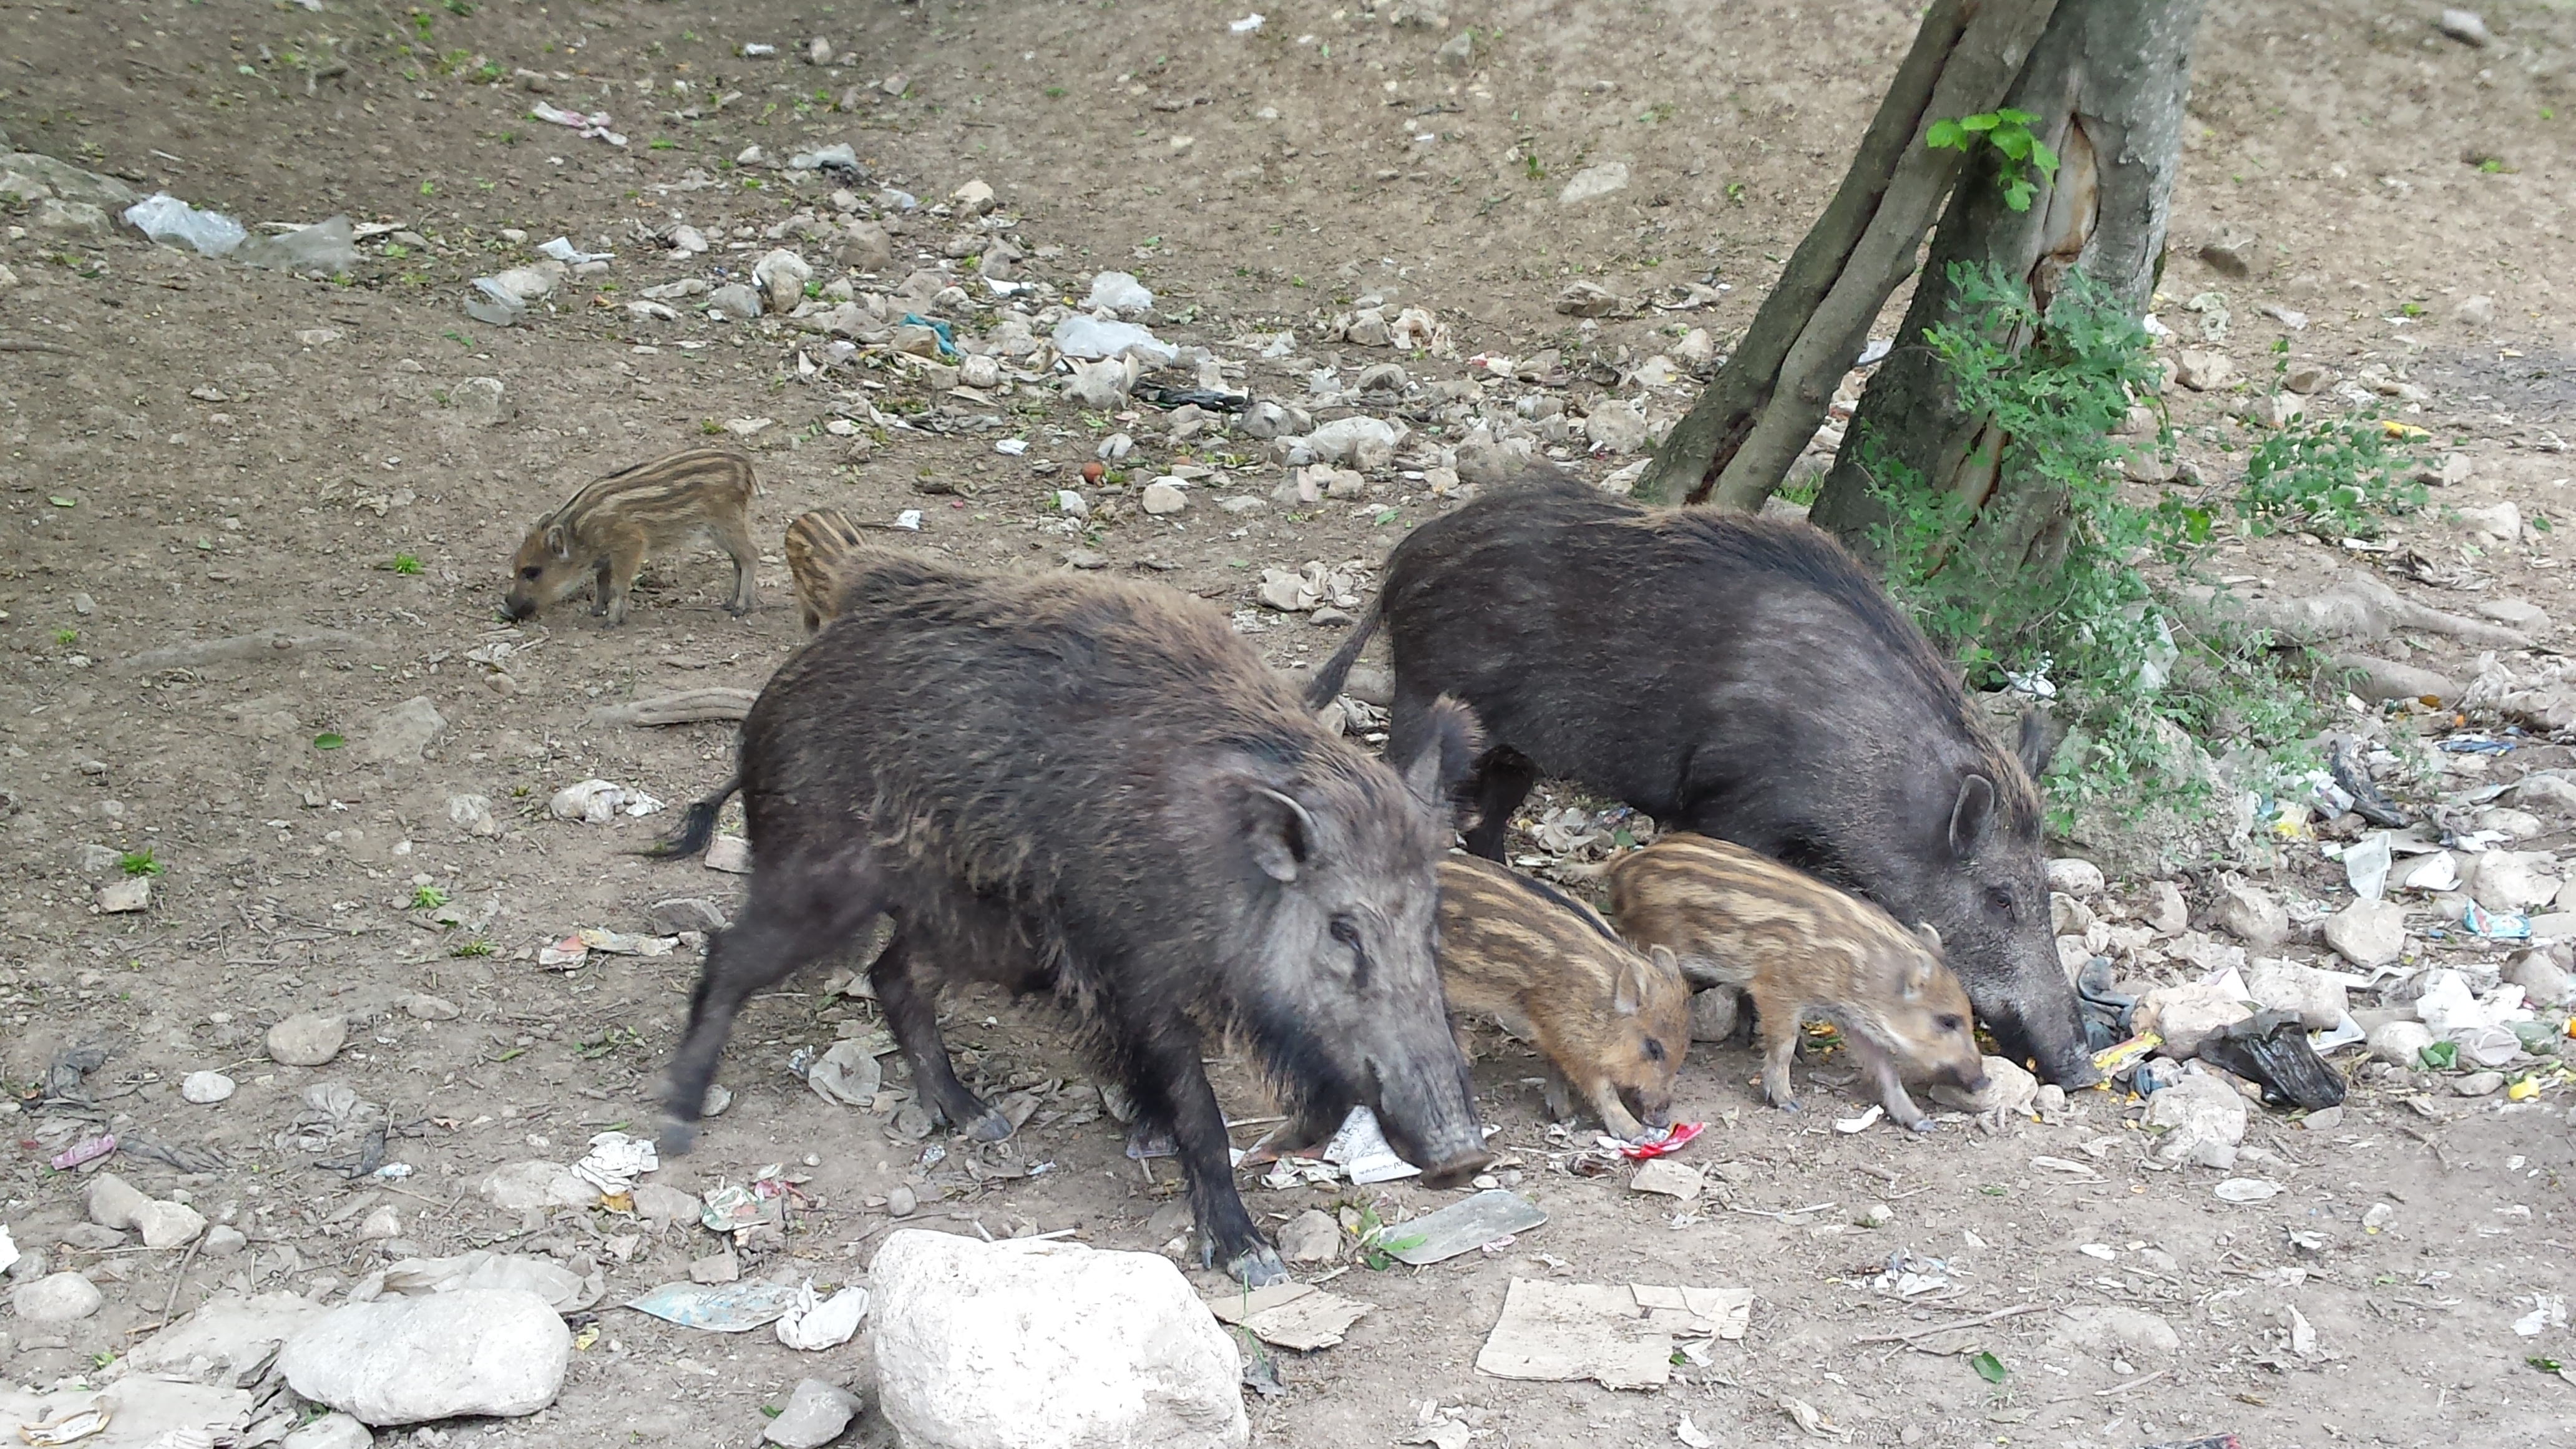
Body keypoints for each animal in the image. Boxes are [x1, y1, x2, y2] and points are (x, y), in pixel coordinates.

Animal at [502, 446, 759, 625]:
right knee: (737, 560)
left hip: (727, 522)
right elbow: (602, 581)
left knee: (750, 555)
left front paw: (612, 621)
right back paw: (728, 603)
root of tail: (745, 466)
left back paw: (740, 607)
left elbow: (619, 584)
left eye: (532, 571)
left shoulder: (630, 544)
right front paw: (596, 611)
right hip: (719, 529)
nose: (505, 609)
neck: (580, 532)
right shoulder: (606, 555)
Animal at [649, 545, 1490, 1285]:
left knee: (891, 976)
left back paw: (978, 1118)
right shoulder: (1134, 972)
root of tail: (776, 692)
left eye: (1431, 922)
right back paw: (678, 1125)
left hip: (964, 921)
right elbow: (1200, 1114)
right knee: (729, 953)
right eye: (1343, 929)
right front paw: (1249, 1254)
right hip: (817, 878)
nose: (1464, 1156)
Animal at [1305, 469, 2096, 1088]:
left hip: (1512, 755)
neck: (1864, 770)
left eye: (2043, 886)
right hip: (1424, 700)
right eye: (1999, 897)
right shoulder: (1729, 807)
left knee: (1485, 826)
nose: (2081, 1067)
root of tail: (1403, 561)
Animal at [1435, 854, 1690, 1139]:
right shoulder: (1566, 1033)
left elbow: (1556, 1065)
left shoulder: (1556, 1032)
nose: (1662, 1118)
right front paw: (1632, 1131)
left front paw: (1563, 1112)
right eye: (1654, 1048)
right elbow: (1600, 1086)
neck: (1599, 997)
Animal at [1608, 832, 1988, 1130]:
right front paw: (1787, 1102)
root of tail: (1623, 866)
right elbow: (1784, 1044)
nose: (1983, 1081)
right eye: (1947, 1020)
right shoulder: (1777, 987)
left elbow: (1884, 1067)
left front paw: (1920, 1122)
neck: (1860, 966)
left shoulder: (1854, 1017)